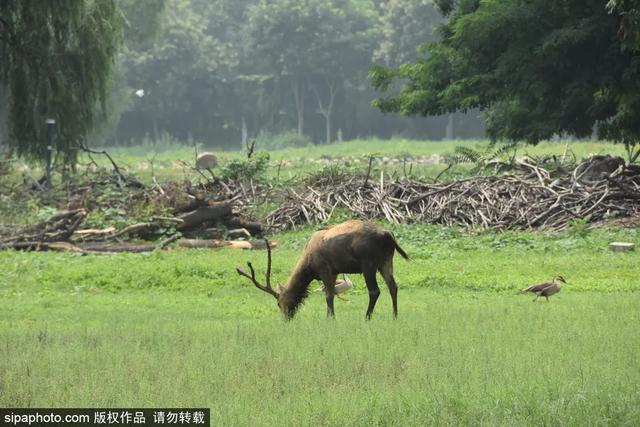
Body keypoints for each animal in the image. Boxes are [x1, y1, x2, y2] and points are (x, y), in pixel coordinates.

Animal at [236, 222, 410, 320]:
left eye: (279, 302)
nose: (286, 318)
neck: (308, 265)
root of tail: (388, 235)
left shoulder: (324, 268)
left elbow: (328, 295)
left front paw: (330, 318)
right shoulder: (334, 272)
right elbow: (330, 293)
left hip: (368, 263)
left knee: (374, 290)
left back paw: (367, 317)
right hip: (386, 261)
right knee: (393, 286)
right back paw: (395, 316)